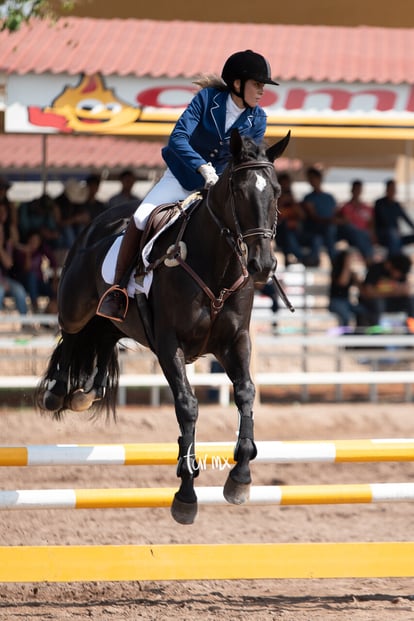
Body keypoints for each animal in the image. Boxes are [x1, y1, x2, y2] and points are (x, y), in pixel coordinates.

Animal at [38, 130, 292, 524]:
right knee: (72, 333)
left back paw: (86, 390)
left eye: (277, 191)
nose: (263, 265)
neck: (215, 265)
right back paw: (59, 388)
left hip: (115, 320)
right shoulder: (169, 345)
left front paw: (240, 477)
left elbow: (246, 393)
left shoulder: (235, 342)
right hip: (75, 307)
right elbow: (187, 406)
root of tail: (99, 221)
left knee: (104, 334)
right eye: (238, 191)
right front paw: (186, 495)